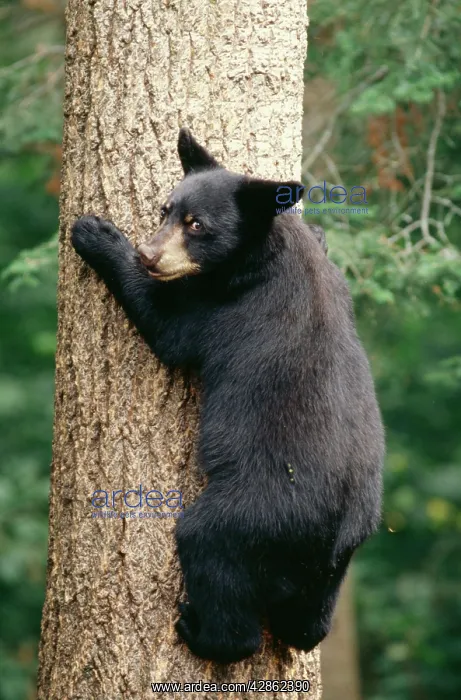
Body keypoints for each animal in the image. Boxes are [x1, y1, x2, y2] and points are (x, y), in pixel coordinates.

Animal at [71, 128, 384, 664]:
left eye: (196, 225)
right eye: (165, 209)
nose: (149, 254)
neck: (264, 251)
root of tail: (329, 537)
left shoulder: (224, 304)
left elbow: (167, 326)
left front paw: (95, 234)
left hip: (254, 513)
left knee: (208, 552)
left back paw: (199, 630)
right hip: (340, 561)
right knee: (307, 624)